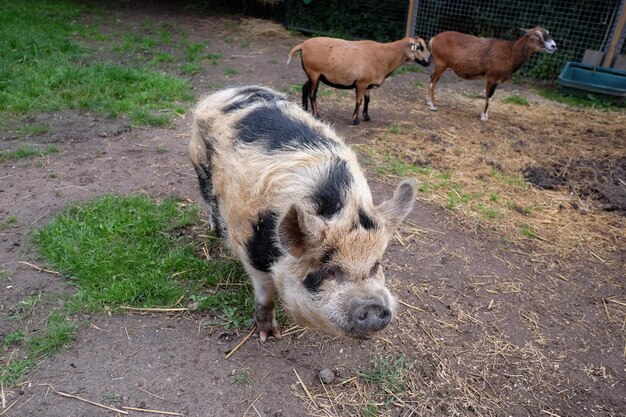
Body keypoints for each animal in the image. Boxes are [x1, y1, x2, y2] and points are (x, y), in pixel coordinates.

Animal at [188, 85, 416, 342]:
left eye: (376, 265)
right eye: (330, 270)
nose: (374, 306)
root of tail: (227, 90)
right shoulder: (251, 246)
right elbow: (264, 292)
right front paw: (270, 336)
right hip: (199, 163)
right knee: (210, 200)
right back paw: (216, 231)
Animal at [286, 36, 428, 124]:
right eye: (420, 47)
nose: (429, 61)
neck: (384, 57)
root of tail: (303, 45)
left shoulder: (368, 84)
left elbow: (368, 100)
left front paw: (367, 117)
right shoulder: (361, 83)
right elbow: (359, 101)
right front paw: (355, 120)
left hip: (313, 74)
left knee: (304, 88)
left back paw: (305, 110)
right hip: (314, 72)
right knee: (312, 94)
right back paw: (317, 115)